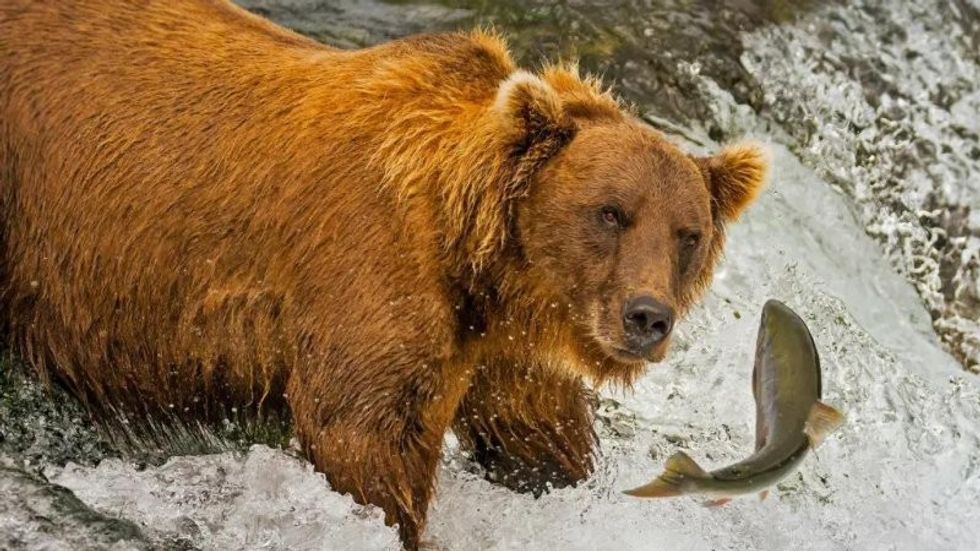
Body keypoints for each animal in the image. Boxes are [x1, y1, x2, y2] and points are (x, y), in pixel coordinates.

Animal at [0, 0, 766, 548]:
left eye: (687, 234)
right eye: (610, 211)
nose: (648, 316)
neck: (479, 259)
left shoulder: (504, 348)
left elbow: (540, 443)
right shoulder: (369, 278)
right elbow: (363, 441)